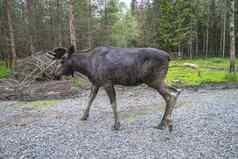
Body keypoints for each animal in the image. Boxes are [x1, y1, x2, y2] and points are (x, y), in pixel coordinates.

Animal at [49, 45, 181, 131]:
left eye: (62, 60)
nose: (54, 74)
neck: (87, 67)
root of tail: (168, 56)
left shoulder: (107, 82)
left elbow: (113, 103)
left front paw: (116, 125)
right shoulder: (96, 83)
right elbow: (90, 99)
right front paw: (84, 116)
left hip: (154, 80)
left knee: (171, 94)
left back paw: (167, 123)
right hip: (159, 80)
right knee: (175, 91)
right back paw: (162, 123)